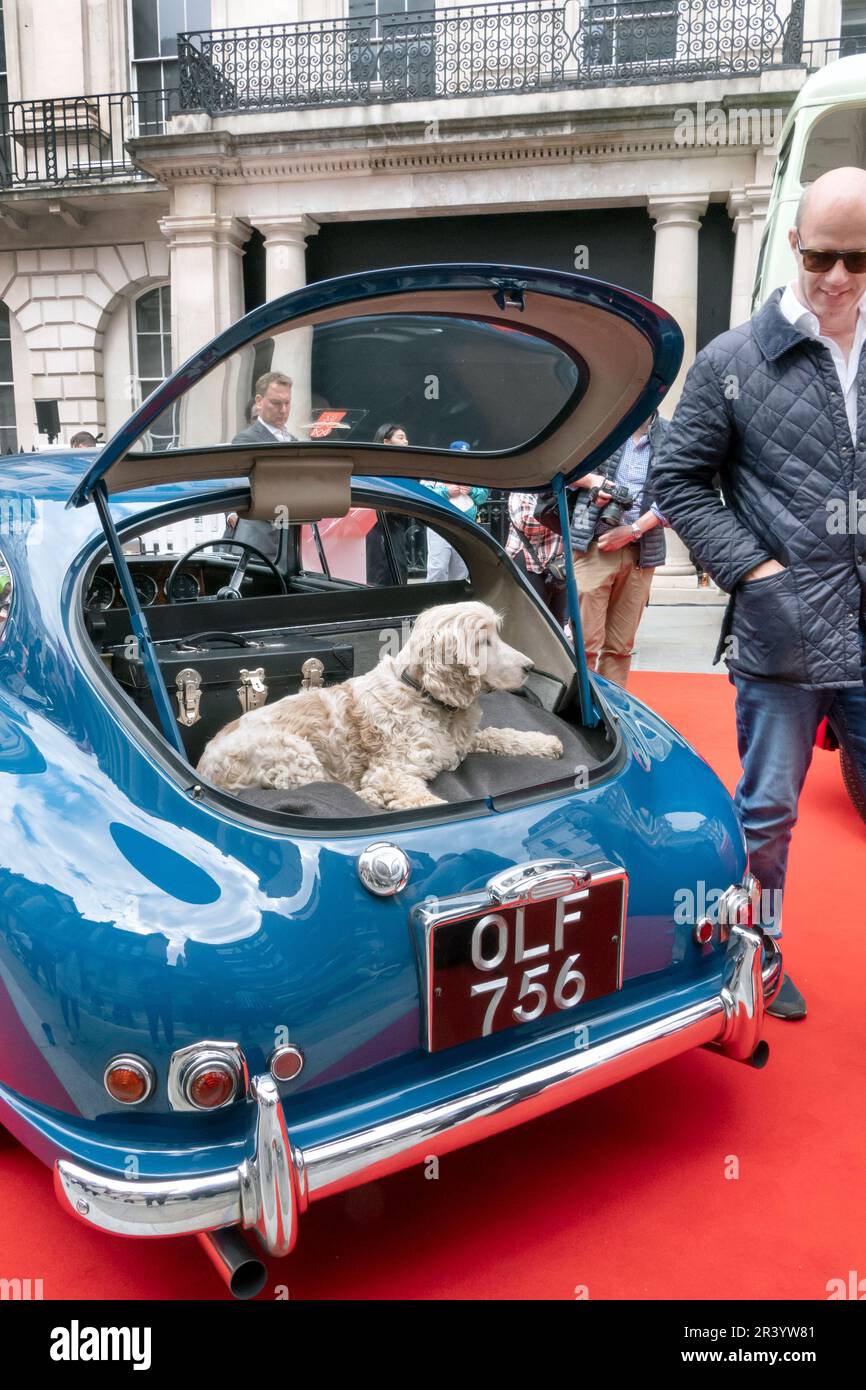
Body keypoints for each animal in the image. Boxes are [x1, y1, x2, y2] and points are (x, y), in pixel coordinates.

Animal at [197, 600, 567, 811]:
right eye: (482, 641)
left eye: (497, 636)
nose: (531, 666)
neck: (423, 694)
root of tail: (202, 766)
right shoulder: (391, 772)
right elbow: (420, 798)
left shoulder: (462, 741)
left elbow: (501, 734)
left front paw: (544, 743)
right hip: (293, 753)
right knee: (336, 787)